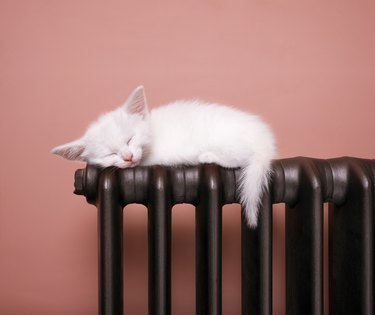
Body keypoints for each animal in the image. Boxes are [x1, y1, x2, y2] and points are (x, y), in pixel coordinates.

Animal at [51, 86, 278, 227]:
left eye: (130, 139)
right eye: (110, 154)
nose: (128, 157)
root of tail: (264, 140)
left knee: (242, 157)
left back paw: (208, 156)